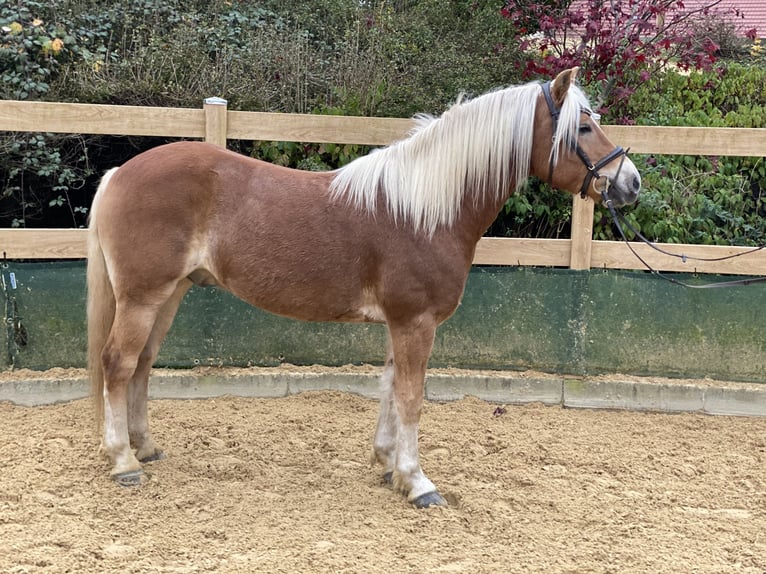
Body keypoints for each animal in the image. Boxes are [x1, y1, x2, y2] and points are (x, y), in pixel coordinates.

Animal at [88, 66, 640, 508]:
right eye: (583, 125)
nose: (630, 182)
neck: (424, 209)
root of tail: (118, 173)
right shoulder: (416, 322)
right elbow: (412, 396)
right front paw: (417, 482)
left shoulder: (404, 323)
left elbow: (391, 388)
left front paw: (388, 463)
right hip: (143, 297)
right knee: (117, 364)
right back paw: (123, 462)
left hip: (169, 294)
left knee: (142, 364)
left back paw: (144, 448)